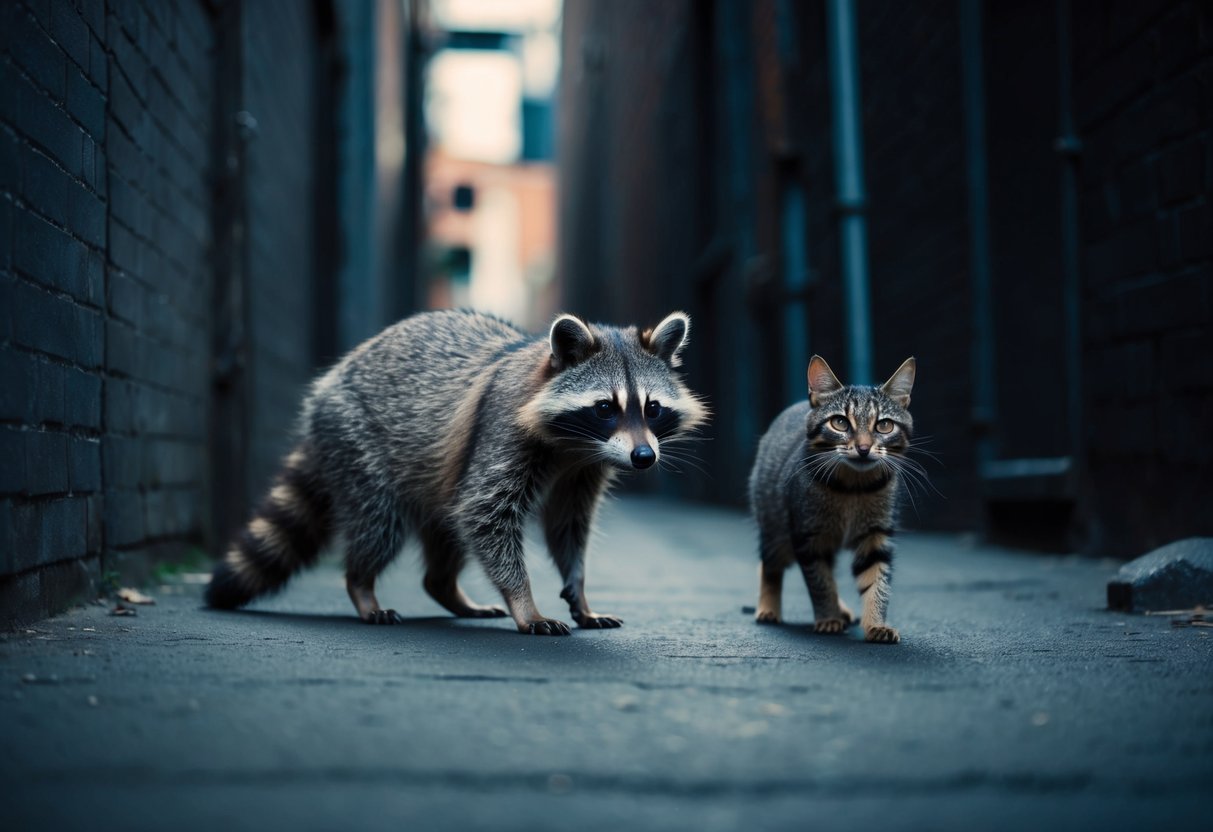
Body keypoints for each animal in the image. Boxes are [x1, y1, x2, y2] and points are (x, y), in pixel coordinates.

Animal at [206, 309, 708, 634]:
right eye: (605, 407)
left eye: (652, 408)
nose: (644, 458)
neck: (576, 445)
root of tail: (325, 393)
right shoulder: (501, 432)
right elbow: (485, 514)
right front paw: (525, 602)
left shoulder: (585, 469)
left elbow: (568, 524)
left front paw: (578, 588)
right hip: (355, 438)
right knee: (380, 523)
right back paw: (361, 585)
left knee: (445, 532)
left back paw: (447, 589)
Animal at [748, 355, 916, 643]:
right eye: (840, 423)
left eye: (884, 425)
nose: (863, 447)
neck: (853, 488)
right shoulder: (808, 537)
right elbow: (820, 582)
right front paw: (827, 618)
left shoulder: (876, 536)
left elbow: (877, 582)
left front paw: (876, 624)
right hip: (775, 530)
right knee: (769, 565)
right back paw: (768, 608)